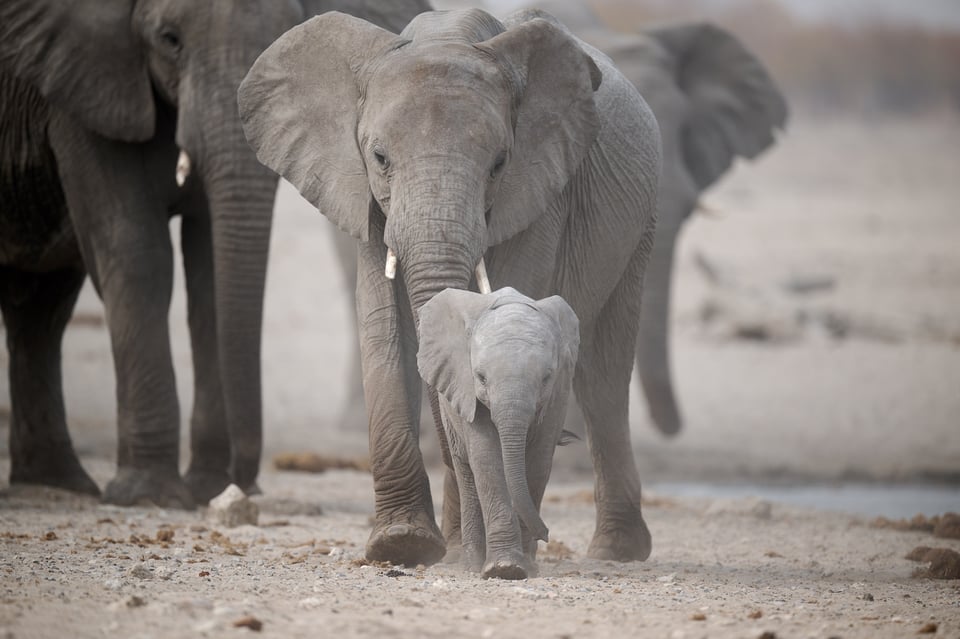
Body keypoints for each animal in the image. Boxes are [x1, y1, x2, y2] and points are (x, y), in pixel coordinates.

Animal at [0, 0, 430, 510]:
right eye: (169, 40)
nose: (242, 483)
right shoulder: (85, 89)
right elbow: (135, 251)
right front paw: (150, 496)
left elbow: (209, 274)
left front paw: (205, 489)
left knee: (41, 306)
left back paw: (56, 482)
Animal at [418, 288, 576, 576]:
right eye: (481, 377)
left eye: (546, 378)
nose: (547, 534)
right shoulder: (467, 391)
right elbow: (486, 457)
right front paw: (505, 568)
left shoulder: (559, 394)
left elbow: (539, 461)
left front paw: (525, 567)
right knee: (466, 472)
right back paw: (472, 564)